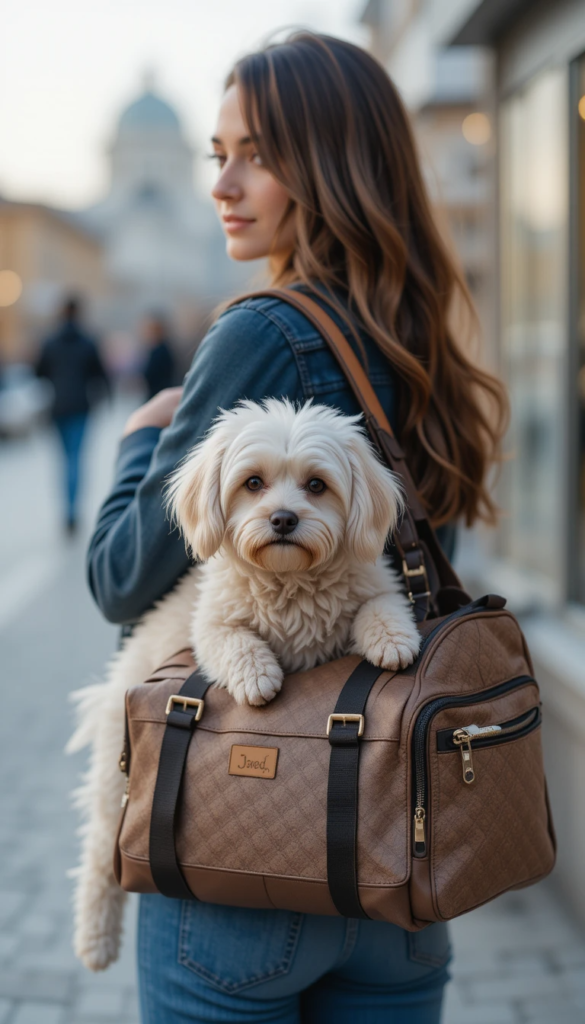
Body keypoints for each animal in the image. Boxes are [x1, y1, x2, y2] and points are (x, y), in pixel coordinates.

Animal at [68, 395, 422, 970]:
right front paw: (259, 676)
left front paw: (391, 639)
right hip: (111, 786)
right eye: (252, 483)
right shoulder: (209, 623)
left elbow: (380, 603)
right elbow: (233, 640)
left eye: (317, 485)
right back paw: (95, 939)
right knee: (99, 853)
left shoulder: (376, 583)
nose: (283, 518)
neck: (289, 582)